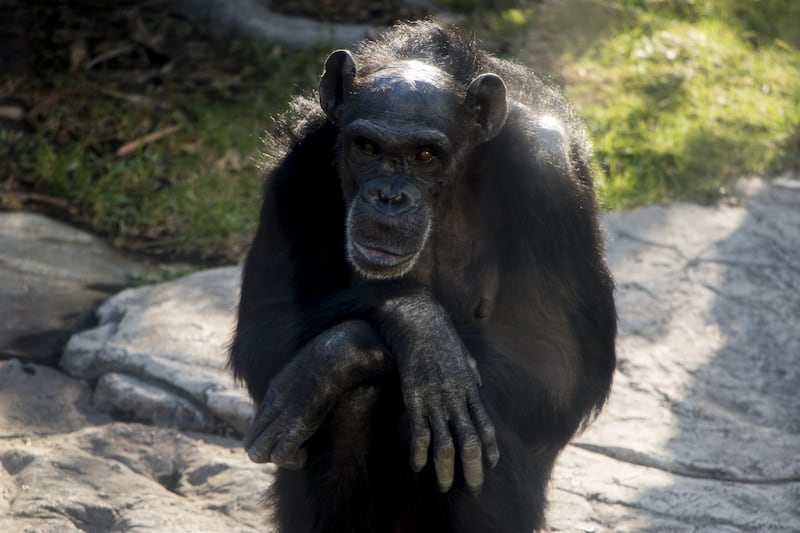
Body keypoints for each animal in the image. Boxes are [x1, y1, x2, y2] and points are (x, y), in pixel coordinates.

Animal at [231, 18, 620, 528]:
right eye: (367, 147)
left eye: (425, 155)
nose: (389, 197)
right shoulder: (299, 159)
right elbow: (264, 329)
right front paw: (412, 332)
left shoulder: (549, 177)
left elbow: (557, 361)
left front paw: (433, 364)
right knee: (354, 400)